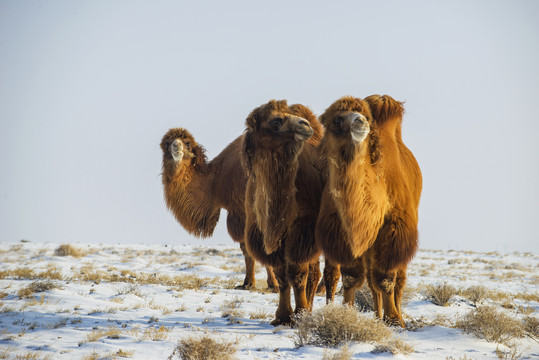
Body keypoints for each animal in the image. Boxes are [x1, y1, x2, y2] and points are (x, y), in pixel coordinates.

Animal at [159, 129, 278, 290]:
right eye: (167, 143)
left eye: (187, 143)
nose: (176, 145)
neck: (216, 181)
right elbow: (248, 249)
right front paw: (249, 283)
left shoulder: (244, 211)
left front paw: (268, 285)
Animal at [244, 99, 324, 326]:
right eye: (275, 121)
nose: (305, 125)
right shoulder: (266, 234)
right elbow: (281, 274)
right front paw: (282, 316)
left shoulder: (303, 231)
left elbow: (297, 273)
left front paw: (300, 314)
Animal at [316, 95, 422, 326]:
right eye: (337, 119)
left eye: (364, 115)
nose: (360, 122)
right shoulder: (342, 230)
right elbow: (351, 277)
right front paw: (346, 313)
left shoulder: (393, 230)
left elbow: (386, 278)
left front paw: (394, 319)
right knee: (372, 282)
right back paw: (377, 315)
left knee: (397, 278)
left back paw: (397, 313)